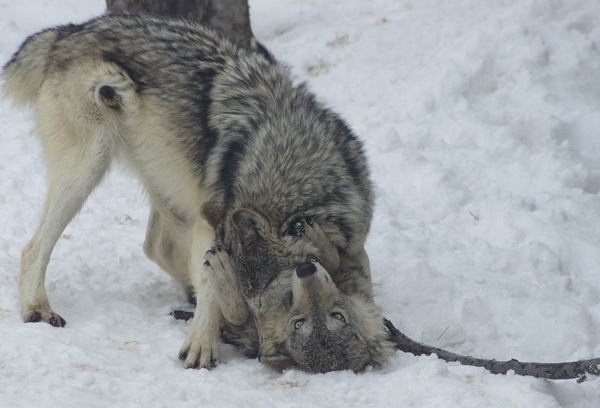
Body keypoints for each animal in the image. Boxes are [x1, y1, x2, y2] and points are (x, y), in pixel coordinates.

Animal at [2, 14, 396, 372]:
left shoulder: (353, 243)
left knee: (155, 246)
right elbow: (211, 285)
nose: (259, 342)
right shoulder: (215, 223)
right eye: (283, 303)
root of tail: (71, 30)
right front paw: (203, 342)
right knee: (34, 248)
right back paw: (38, 308)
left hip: (171, 182)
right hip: (88, 169)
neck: (293, 167)